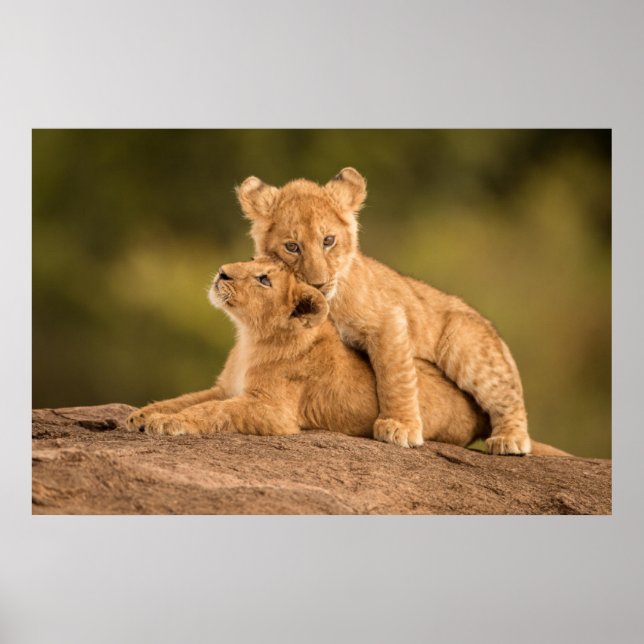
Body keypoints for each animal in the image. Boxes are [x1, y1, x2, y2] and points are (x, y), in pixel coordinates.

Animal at [124, 258, 568, 457]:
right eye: (250, 261)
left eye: (264, 278)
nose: (221, 272)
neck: (250, 337)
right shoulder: (223, 386)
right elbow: (187, 399)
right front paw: (142, 415)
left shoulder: (273, 412)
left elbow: (211, 411)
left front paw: (167, 424)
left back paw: (508, 440)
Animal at [236, 168, 533, 454]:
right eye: (292, 246)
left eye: (328, 240)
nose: (318, 283)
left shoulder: (388, 318)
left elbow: (395, 376)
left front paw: (400, 426)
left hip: (464, 342)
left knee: (508, 394)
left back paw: (510, 439)